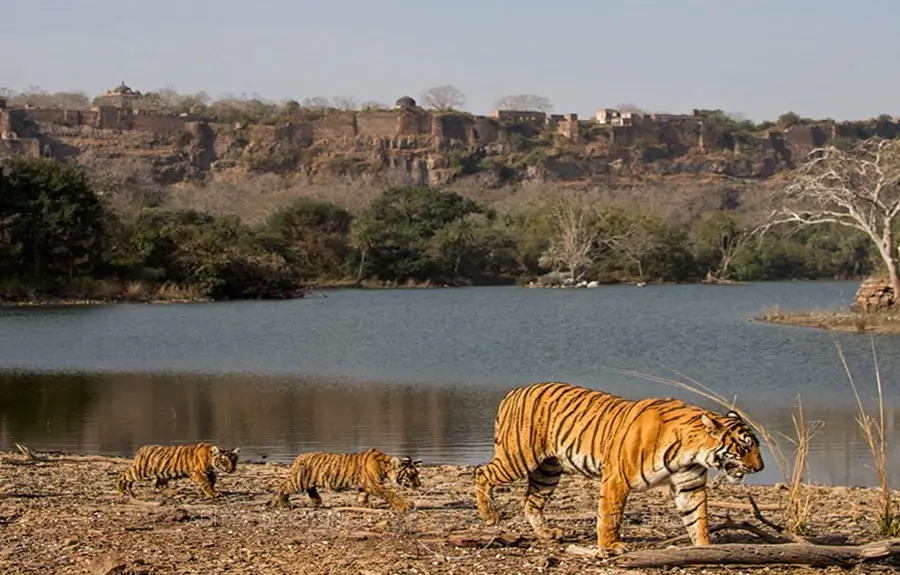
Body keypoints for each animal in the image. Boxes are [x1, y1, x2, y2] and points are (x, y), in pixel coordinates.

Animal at [269, 448, 422, 512]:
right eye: (412, 475)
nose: (419, 485)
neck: (385, 466)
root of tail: (299, 456)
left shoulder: (366, 485)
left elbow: (363, 494)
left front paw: (365, 504)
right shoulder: (374, 484)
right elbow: (391, 494)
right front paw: (405, 505)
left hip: (308, 480)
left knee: (310, 488)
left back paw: (317, 500)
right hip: (299, 481)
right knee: (282, 487)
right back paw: (285, 504)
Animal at [473, 381, 764, 556]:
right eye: (745, 447)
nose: (760, 467)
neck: (691, 453)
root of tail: (513, 392)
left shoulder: (689, 486)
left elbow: (698, 518)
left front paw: (704, 547)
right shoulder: (617, 478)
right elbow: (611, 515)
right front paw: (611, 546)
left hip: (548, 470)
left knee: (530, 501)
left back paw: (547, 533)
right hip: (517, 458)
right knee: (481, 472)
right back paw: (490, 516)